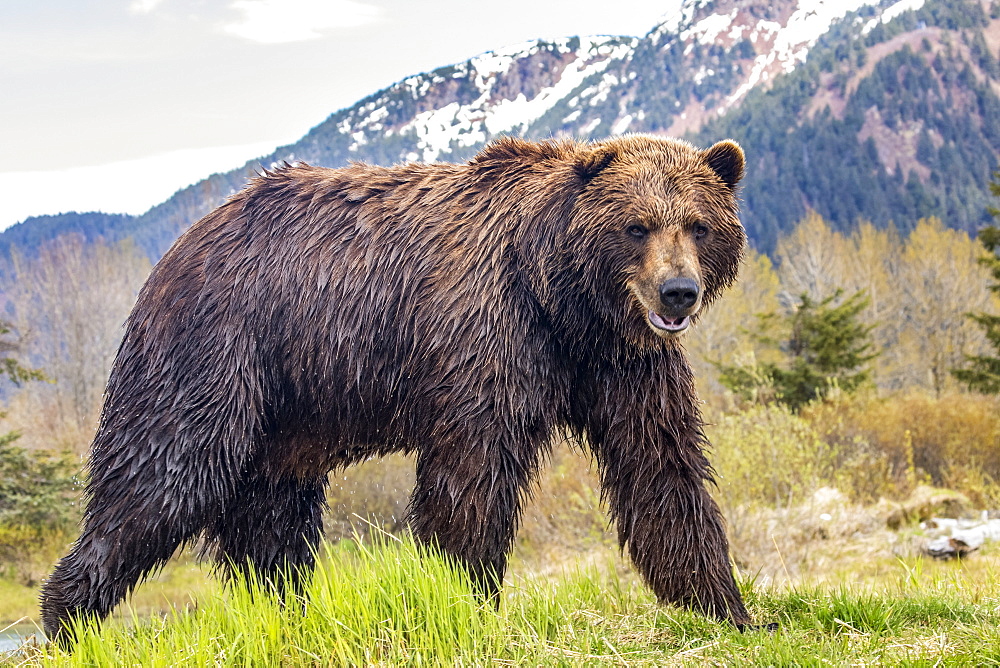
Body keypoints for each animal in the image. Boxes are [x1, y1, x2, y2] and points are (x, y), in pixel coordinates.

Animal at [41, 133, 752, 640]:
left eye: (698, 224)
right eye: (637, 225)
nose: (678, 291)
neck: (564, 297)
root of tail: (176, 248)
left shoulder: (618, 364)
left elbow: (661, 467)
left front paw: (728, 607)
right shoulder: (486, 329)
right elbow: (473, 471)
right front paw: (465, 597)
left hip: (287, 416)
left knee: (272, 521)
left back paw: (287, 611)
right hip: (216, 350)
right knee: (162, 474)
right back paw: (68, 618)